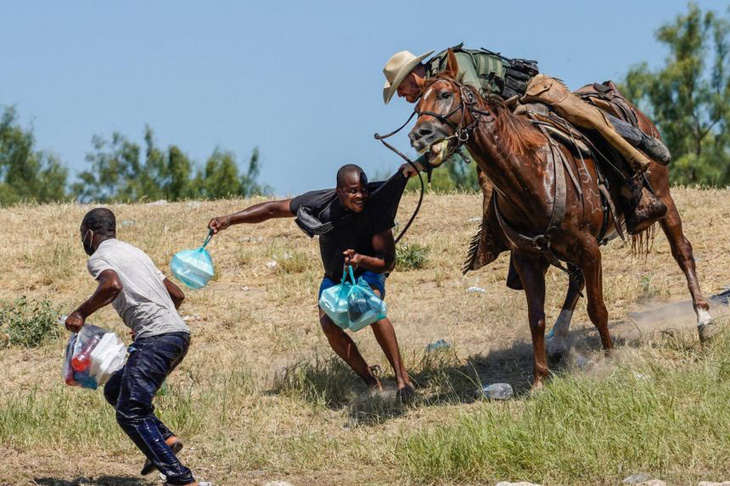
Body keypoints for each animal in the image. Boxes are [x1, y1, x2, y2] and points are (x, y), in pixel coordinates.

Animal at [406, 51, 708, 390]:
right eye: (417, 106)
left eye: (446, 94)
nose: (419, 135)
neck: (531, 175)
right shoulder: (528, 258)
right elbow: (536, 317)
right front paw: (540, 378)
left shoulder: (589, 248)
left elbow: (597, 309)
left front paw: (611, 359)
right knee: (576, 281)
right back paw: (559, 340)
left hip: (663, 197)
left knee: (682, 251)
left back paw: (704, 321)